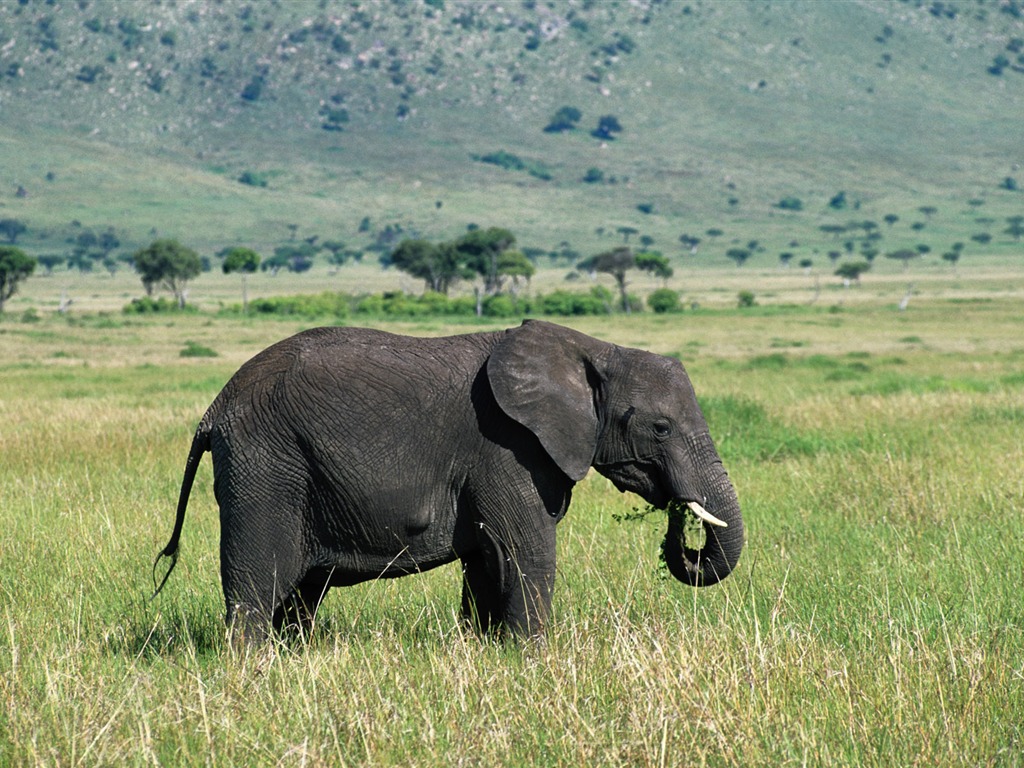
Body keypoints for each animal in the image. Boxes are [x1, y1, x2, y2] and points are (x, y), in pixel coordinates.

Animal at [151, 319, 741, 643]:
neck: (595, 349)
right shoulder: (506, 448)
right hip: (266, 464)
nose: (679, 520)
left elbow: (485, 559)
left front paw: (487, 651)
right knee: (257, 583)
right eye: (660, 428)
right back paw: (249, 668)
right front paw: (534, 660)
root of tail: (213, 409)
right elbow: (527, 551)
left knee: (300, 595)